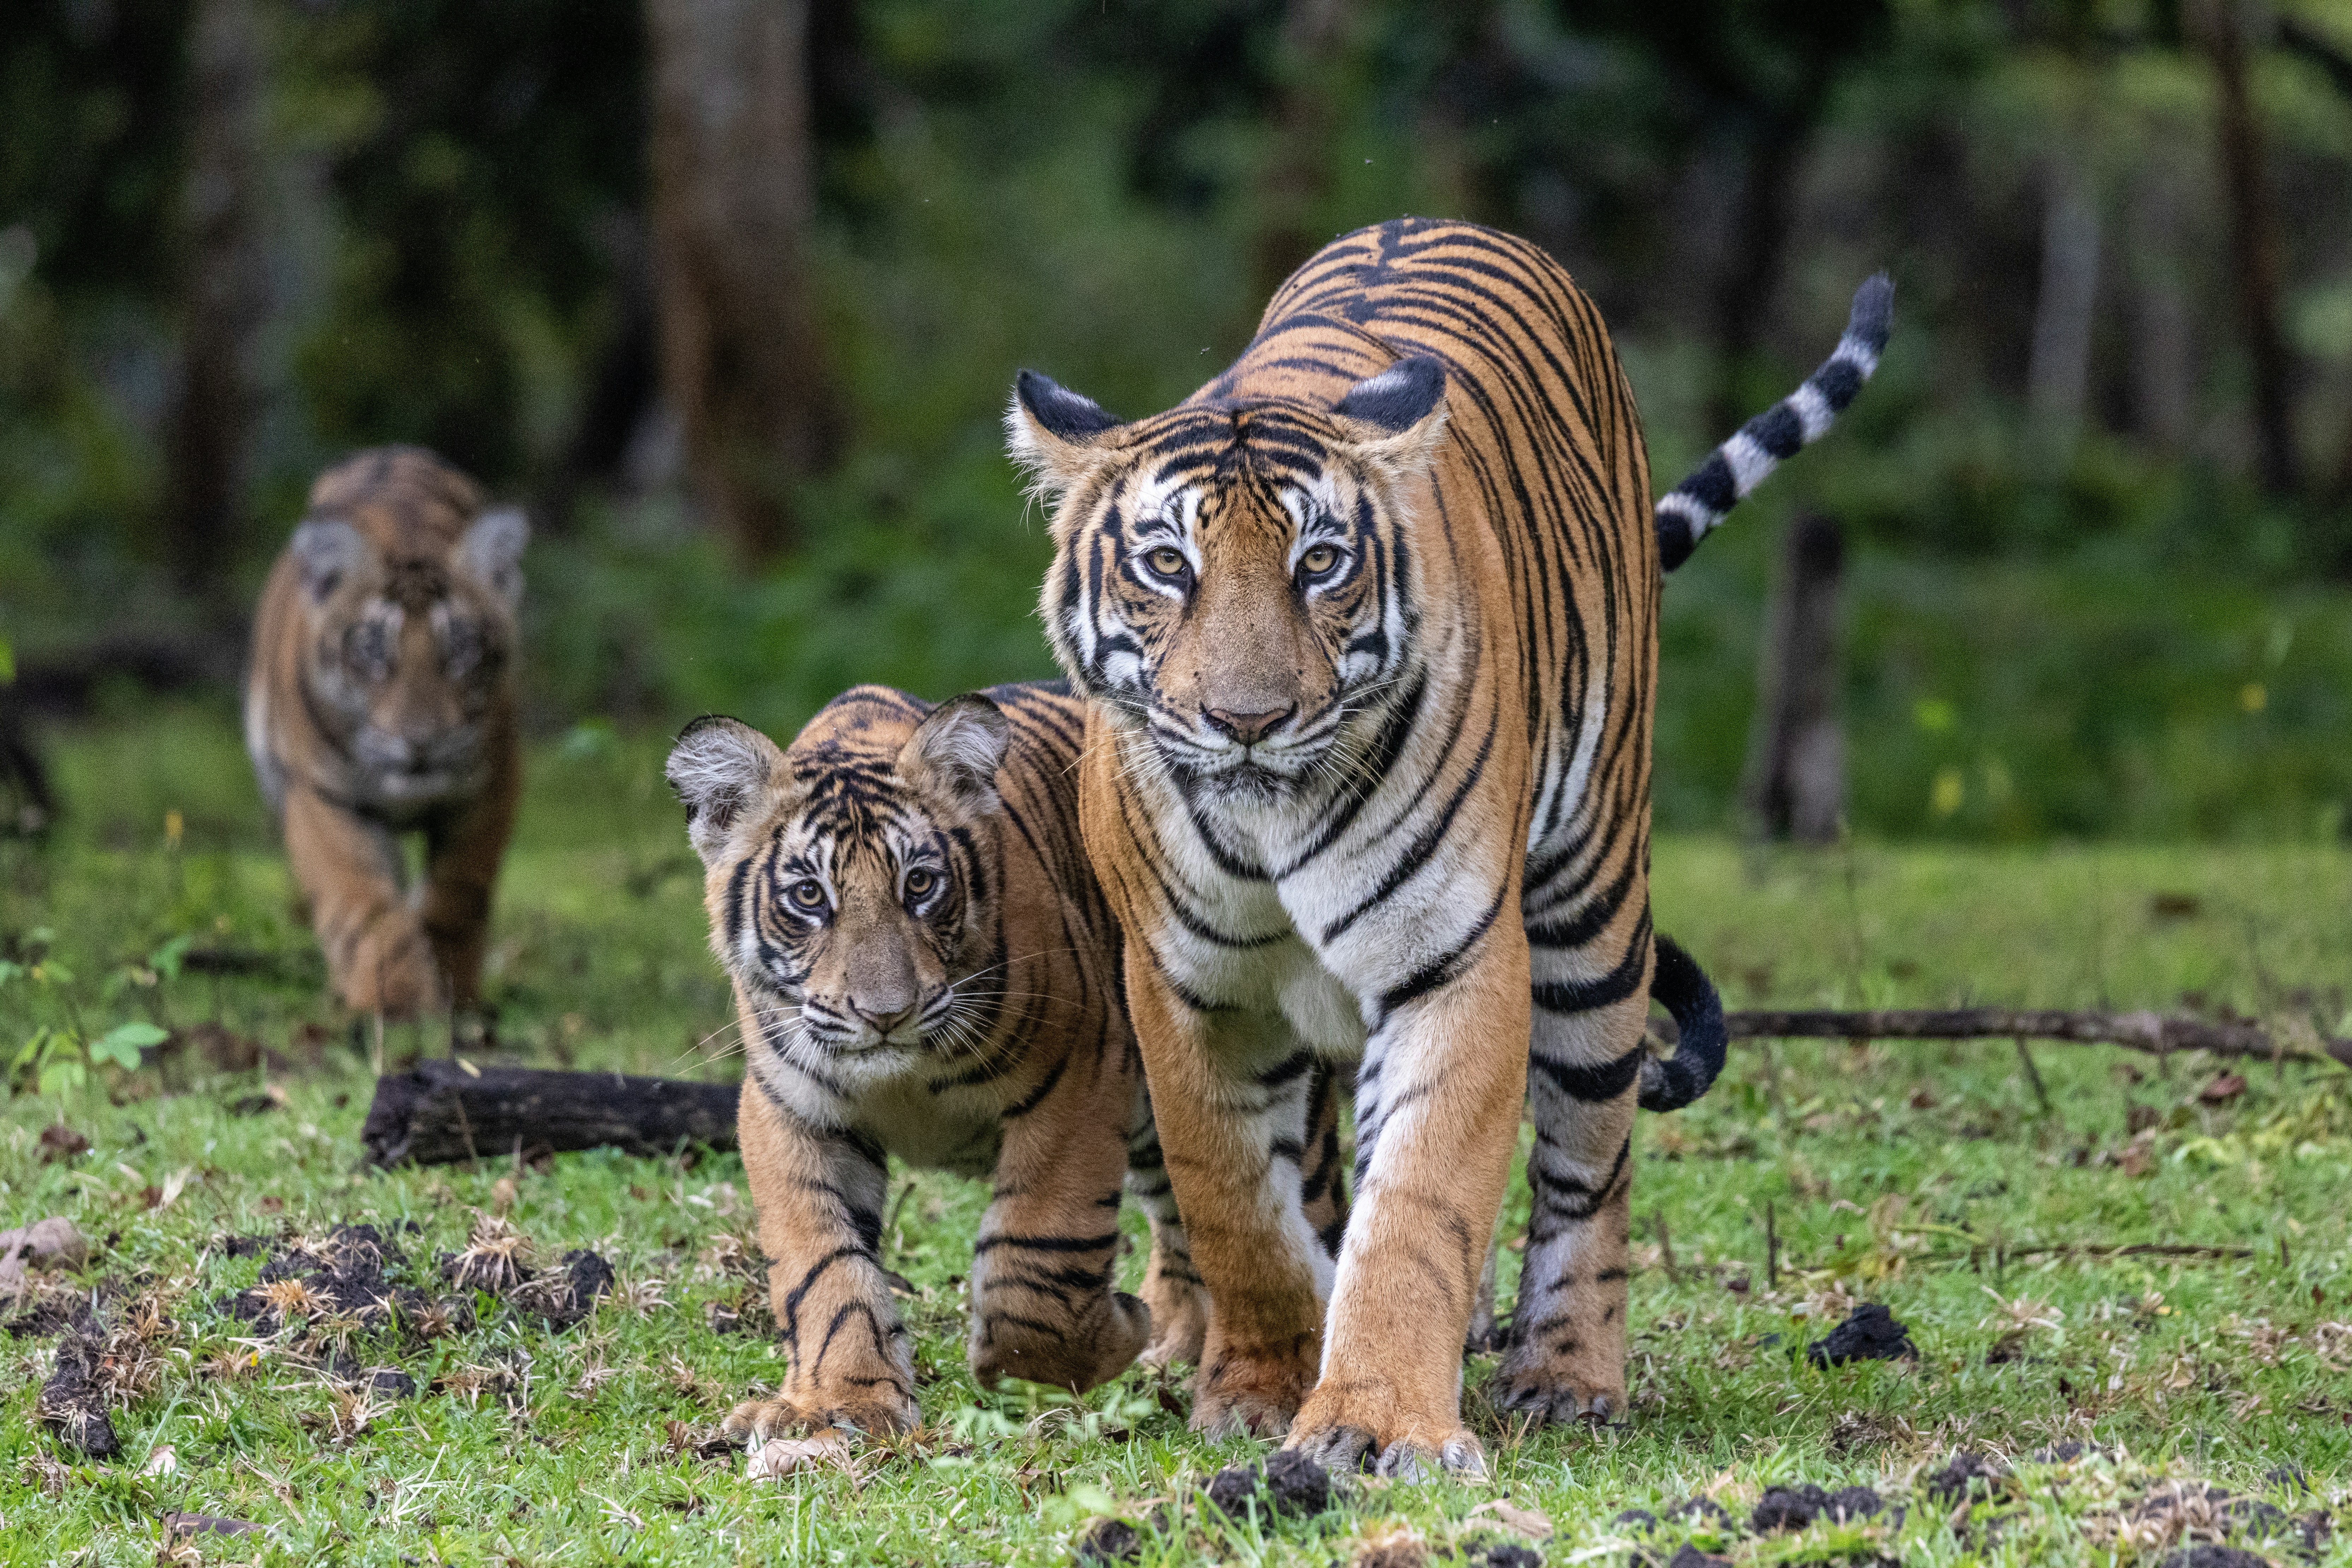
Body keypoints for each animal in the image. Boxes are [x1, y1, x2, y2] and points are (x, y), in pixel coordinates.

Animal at [244, 446, 529, 1019]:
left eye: (462, 650)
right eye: (373, 652)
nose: (421, 741)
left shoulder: (493, 782)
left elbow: (458, 892)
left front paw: (454, 991)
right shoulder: (323, 796)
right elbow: (363, 903)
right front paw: (396, 1000)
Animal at [665, 682, 1350, 1440]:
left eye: (921, 885)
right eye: (810, 896)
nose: (885, 1014)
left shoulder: (1082, 1068)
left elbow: (1038, 1255)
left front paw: (1108, 1335)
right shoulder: (787, 1109)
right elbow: (824, 1269)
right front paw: (845, 1402)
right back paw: (1176, 1343)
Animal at [1006, 216, 1886, 1477]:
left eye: (1319, 563)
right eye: (1167, 565)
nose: (1246, 719)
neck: (1272, 818)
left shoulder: (1456, 960)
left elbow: (1419, 1204)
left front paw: (1378, 1418)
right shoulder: (1186, 990)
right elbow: (1238, 1208)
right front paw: (1261, 1389)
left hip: (1595, 906)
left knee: (1589, 1164)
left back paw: (1566, 1378)